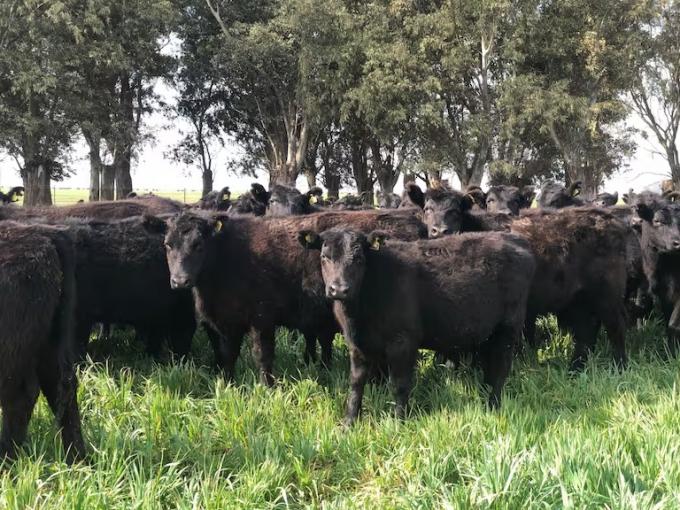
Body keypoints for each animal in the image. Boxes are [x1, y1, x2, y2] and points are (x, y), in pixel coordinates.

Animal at [300, 227, 532, 422]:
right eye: (324, 257)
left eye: (358, 259)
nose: (339, 289)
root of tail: (514, 239)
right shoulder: (357, 345)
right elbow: (356, 384)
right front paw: (349, 422)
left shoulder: (403, 341)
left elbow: (400, 384)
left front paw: (398, 422)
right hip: (488, 331)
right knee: (489, 367)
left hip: (508, 329)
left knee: (501, 368)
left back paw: (494, 405)